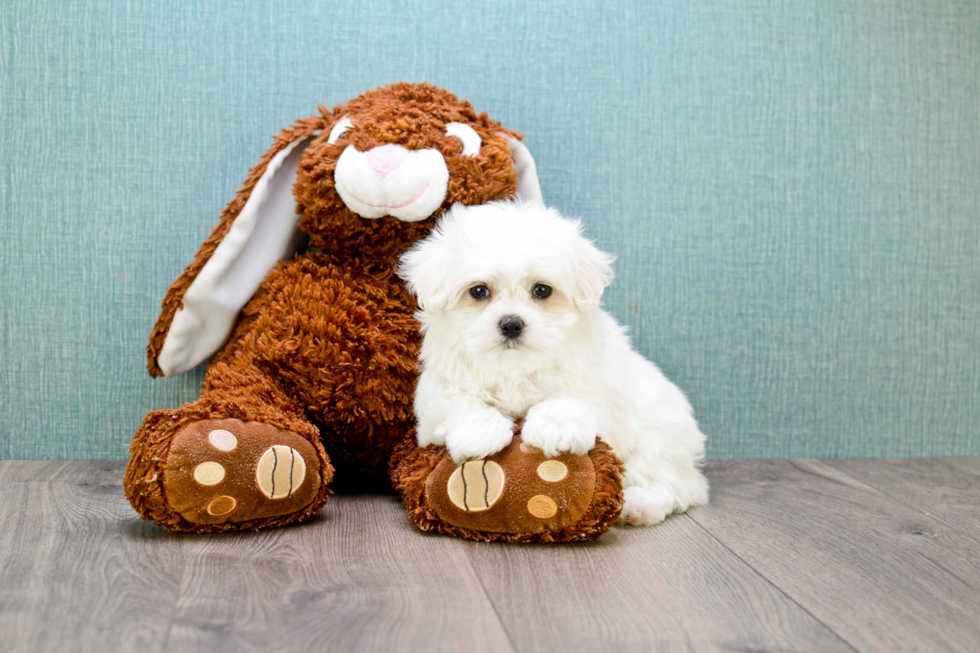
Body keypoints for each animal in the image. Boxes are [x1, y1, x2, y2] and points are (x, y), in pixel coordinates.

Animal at [402, 201, 708, 528]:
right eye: (479, 291)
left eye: (542, 290)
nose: (511, 324)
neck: (514, 368)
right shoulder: (439, 394)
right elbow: (461, 403)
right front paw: (480, 434)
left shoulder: (593, 380)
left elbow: (569, 399)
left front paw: (554, 428)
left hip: (661, 435)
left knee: (673, 484)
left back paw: (638, 505)